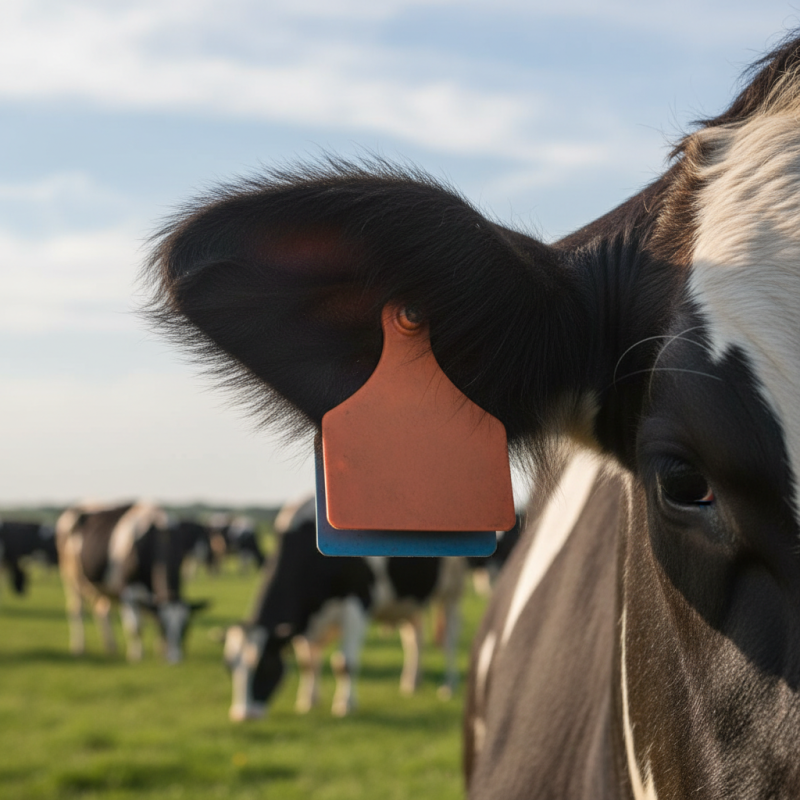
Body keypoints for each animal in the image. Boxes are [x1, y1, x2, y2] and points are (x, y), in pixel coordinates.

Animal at [56, 502, 208, 663]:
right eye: (163, 626)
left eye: (186, 628)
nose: (175, 659)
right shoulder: (128, 590)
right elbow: (136, 627)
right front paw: (137, 655)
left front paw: (160, 650)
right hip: (71, 578)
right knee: (77, 611)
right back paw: (79, 647)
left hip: (104, 587)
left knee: (102, 611)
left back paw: (111, 647)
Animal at [223, 496, 466, 720]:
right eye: (229, 667)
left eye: (265, 666)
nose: (243, 716)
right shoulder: (306, 620)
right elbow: (308, 663)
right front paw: (308, 701)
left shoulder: (357, 604)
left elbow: (345, 664)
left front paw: (345, 705)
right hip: (409, 599)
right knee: (414, 640)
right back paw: (411, 683)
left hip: (452, 591)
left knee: (450, 639)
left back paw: (449, 685)